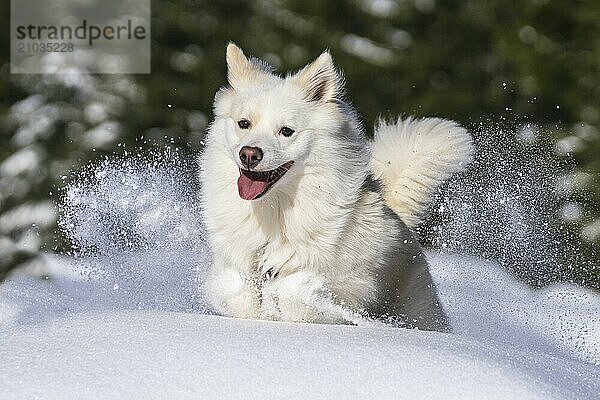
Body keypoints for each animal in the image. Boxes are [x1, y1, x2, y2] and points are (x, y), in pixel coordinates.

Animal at [199, 44, 472, 332]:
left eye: (286, 131)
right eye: (244, 124)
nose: (249, 154)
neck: (276, 209)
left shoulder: (358, 278)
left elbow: (299, 292)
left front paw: (288, 294)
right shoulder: (234, 260)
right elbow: (235, 289)